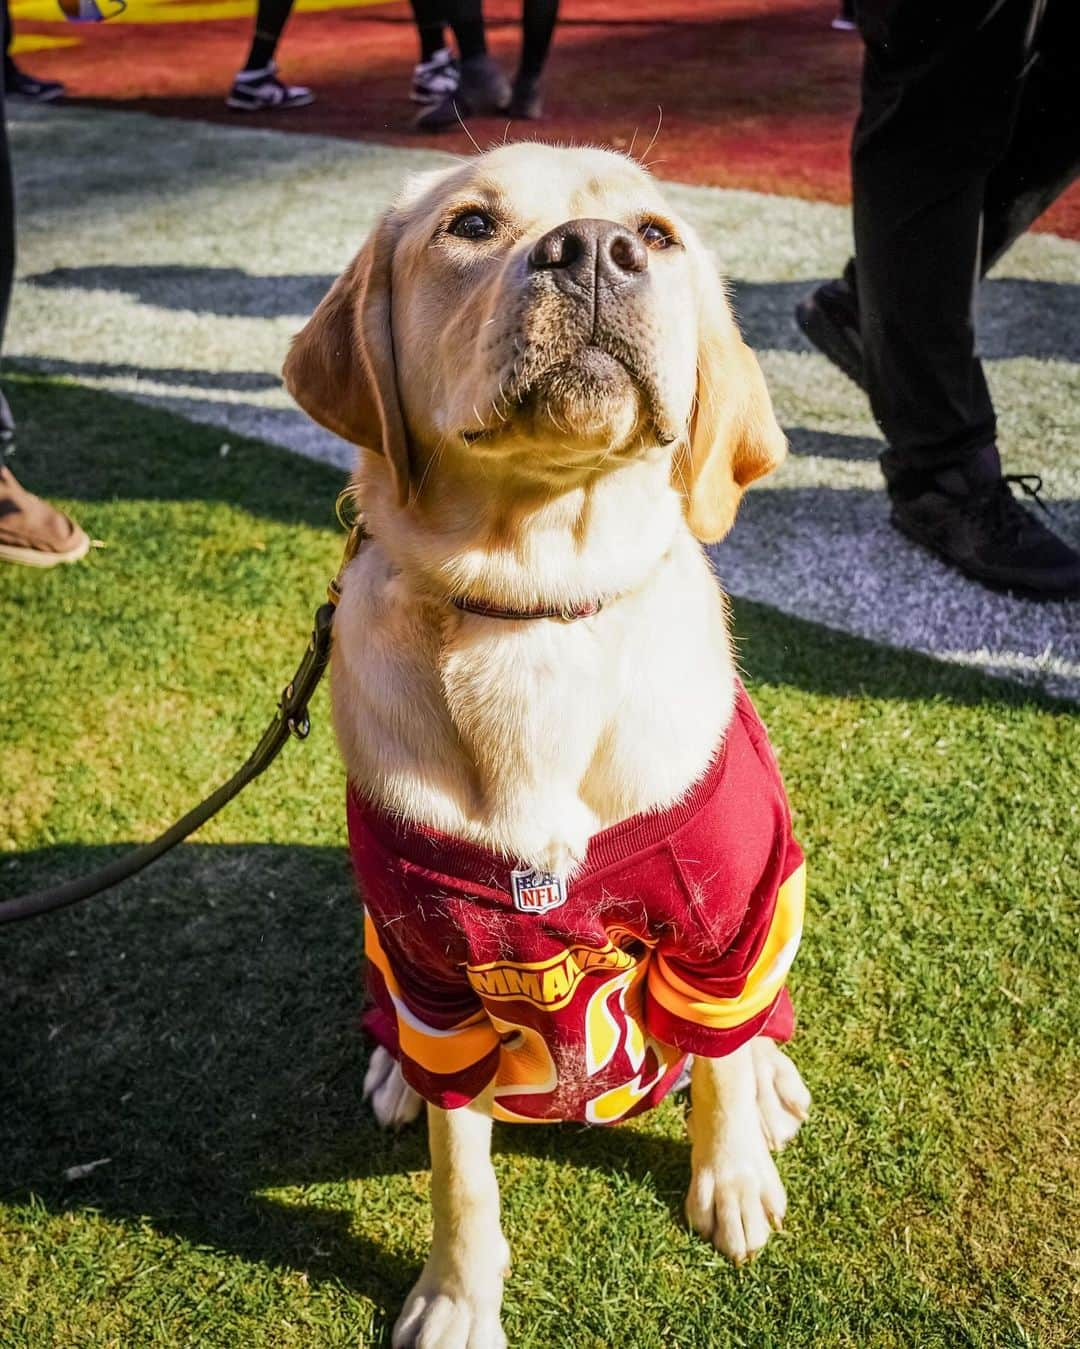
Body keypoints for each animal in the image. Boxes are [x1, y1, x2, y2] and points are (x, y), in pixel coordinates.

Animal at [285, 142, 808, 1343]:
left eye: (656, 234)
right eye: (472, 223)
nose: (599, 252)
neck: (535, 605)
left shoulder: (722, 920)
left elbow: (717, 1065)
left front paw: (731, 1176)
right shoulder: (435, 968)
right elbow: (460, 1168)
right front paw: (454, 1295)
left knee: (753, 1030)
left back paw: (771, 1084)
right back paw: (390, 1073)